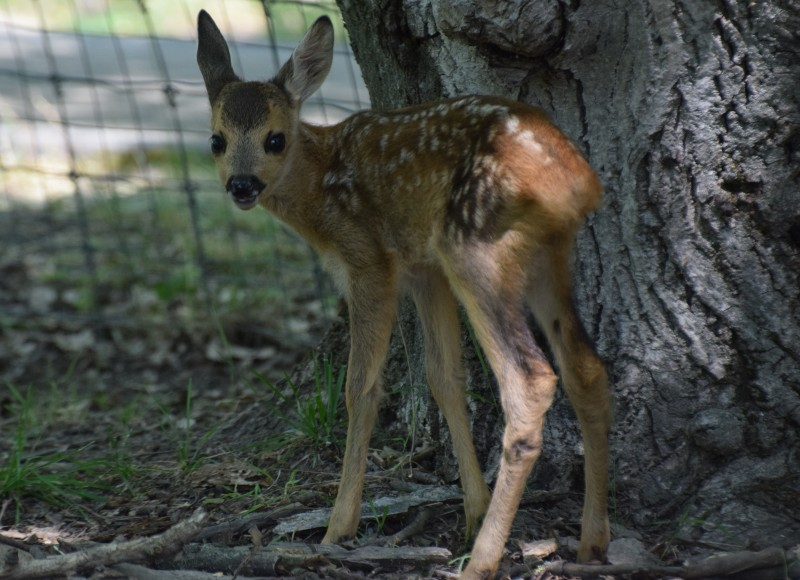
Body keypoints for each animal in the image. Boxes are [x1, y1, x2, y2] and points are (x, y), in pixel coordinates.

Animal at [197, 10, 608, 580]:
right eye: (216, 139)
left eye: (274, 139)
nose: (241, 185)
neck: (321, 187)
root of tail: (578, 182)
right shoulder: (423, 270)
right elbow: (444, 379)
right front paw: (473, 509)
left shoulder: (370, 261)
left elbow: (360, 387)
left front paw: (338, 527)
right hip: (549, 256)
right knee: (585, 368)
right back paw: (592, 541)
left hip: (475, 249)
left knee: (530, 379)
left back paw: (482, 561)